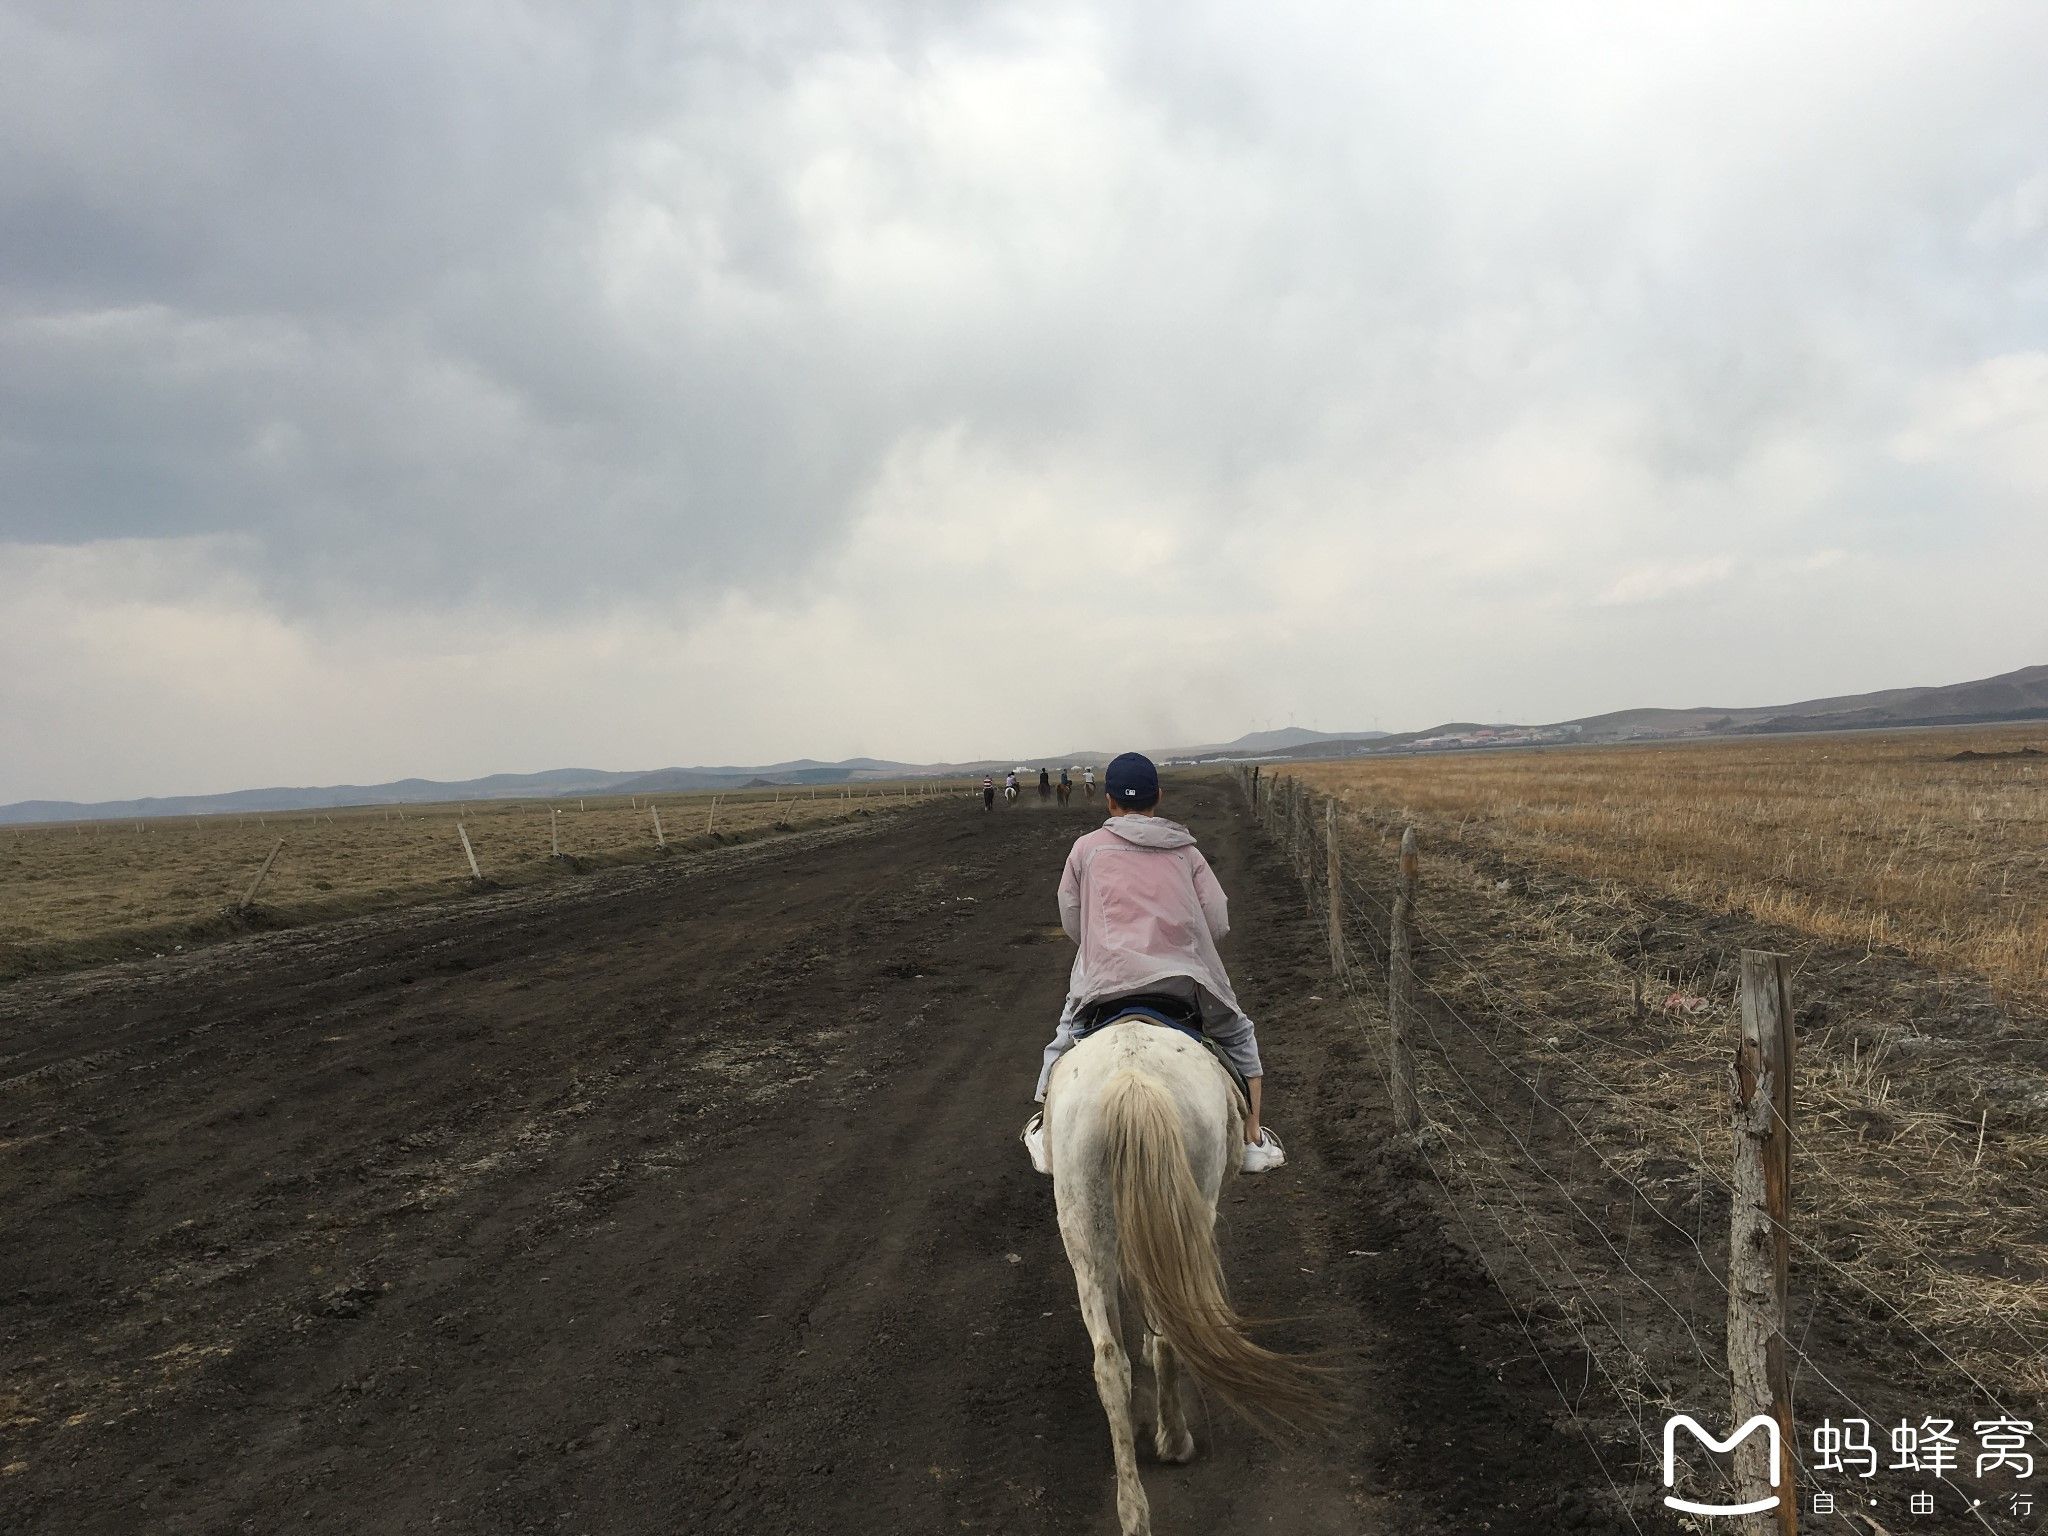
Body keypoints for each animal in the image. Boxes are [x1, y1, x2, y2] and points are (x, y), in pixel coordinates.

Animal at [1040, 1024, 1327, 1536]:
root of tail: (1133, 1081)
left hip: (1083, 1229)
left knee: (1108, 1362)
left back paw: (1133, 1509)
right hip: (1191, 1203)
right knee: (1171, 1330)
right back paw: (1175, 1442)